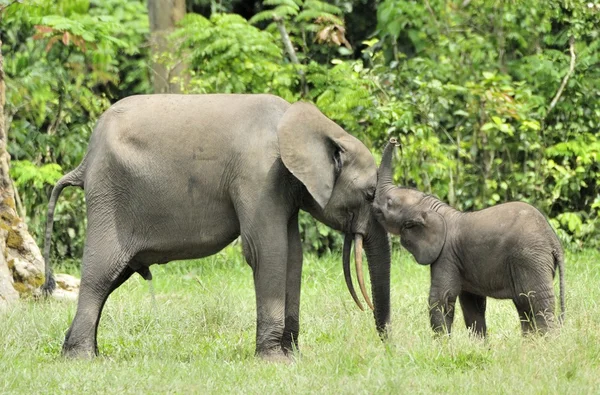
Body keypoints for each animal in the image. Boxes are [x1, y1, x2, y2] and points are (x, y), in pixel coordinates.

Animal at [42, 94, 390, 364]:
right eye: (369, 194)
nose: (386, 344)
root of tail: (84, 162)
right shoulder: (258, 175)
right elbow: (267, 250)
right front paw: (273, 361)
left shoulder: (284, 189)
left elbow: (293, 254)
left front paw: (292, 358)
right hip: (110, 196)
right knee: (101, 273)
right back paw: (81, 359)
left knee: (114, 275)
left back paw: (79, 352)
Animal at [372, 139, 564, 338]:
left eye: (389, 203)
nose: (394, 141)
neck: (433, 208)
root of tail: (553, 240)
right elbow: (472, 304)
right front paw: (478, 344)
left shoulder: (446, 255)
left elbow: (441, 298)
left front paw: (442, 344)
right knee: (525, 304)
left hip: (530, 258)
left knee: (537, 301)